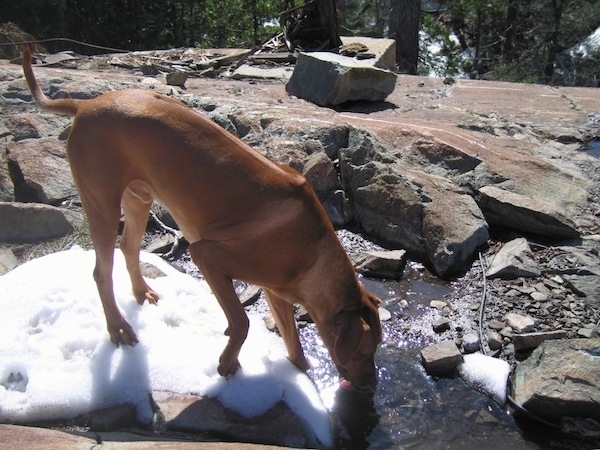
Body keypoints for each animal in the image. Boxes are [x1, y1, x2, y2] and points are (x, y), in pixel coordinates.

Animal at [21, 46, 382, 390]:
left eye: (375, 350)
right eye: (364, 351)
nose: (371, 386)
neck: (313, 250)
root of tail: (86, 104)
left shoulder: (276, 292)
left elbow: (294, 347)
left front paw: (301, 373)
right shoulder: (207, 255)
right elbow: (241, 322)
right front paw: (227, 363)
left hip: (138, 198)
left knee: (128, 247)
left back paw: (141, 293)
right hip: (102, 203)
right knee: (101, 272)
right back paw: (118, 327)